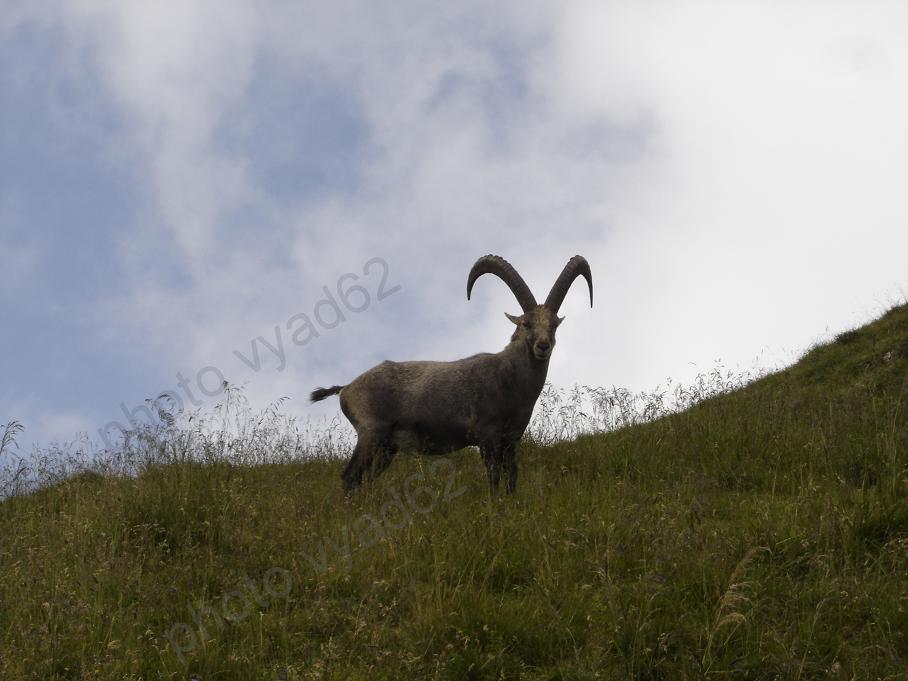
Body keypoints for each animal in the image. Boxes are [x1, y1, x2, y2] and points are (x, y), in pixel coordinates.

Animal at [310, 254, 593, 492]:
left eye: (554, 324)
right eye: (526, 323)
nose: (542, 346)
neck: (509, 379)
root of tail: (346, 389)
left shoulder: (512, 440)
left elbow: (512, 475)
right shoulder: (487, 436)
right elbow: (493, 477)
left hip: (387, 447)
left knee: (365, 479)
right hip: (370, 433)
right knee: (350, 476)